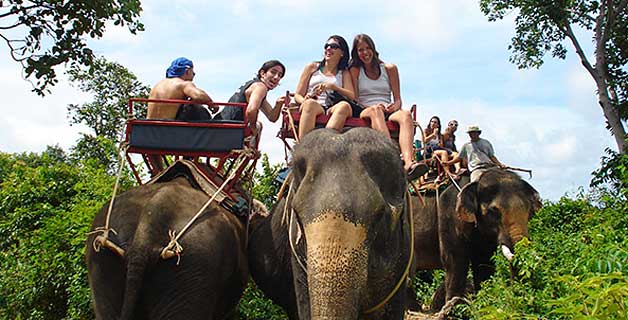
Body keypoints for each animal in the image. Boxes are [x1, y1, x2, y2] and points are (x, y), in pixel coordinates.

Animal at [412, 169, 540, 308]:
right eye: (493, 211)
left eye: (530, 210)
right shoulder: (449, 214)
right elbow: (455, 261)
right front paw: (454, 309)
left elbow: (484, 263)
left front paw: (484, 305)